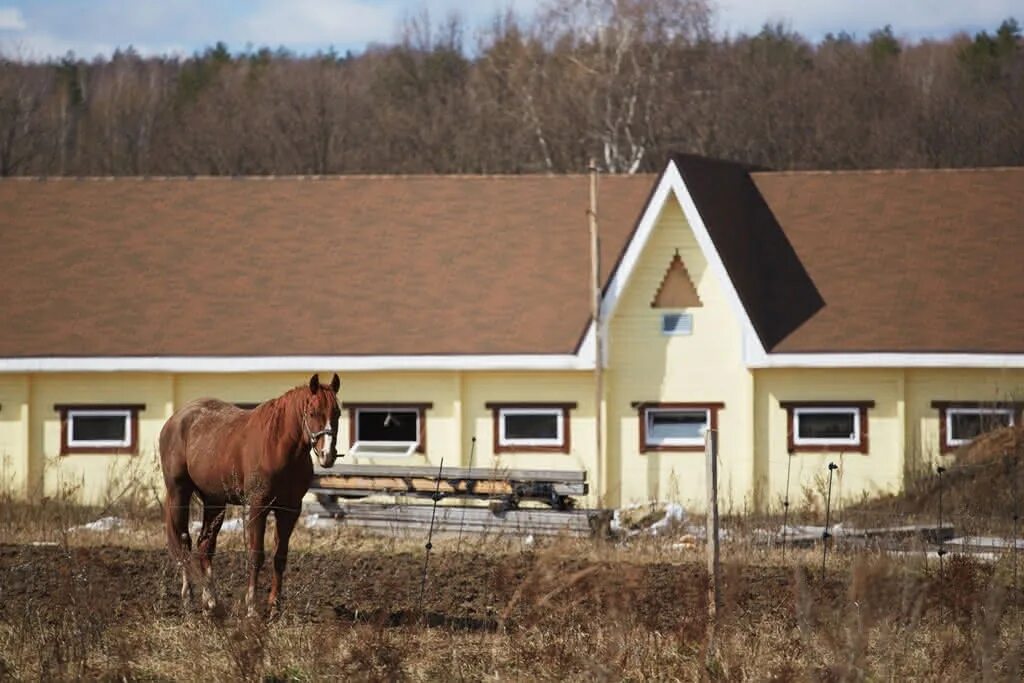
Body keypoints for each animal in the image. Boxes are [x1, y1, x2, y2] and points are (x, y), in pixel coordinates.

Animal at [156, 374, 339, 618]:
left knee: (205, 545)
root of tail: (175, 419)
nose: (328, 455)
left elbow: (280, 557)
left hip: (214, 501)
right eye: (313, 412)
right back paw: (188, 599)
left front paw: (274, 607)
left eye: (337, 413)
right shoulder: (257, 506)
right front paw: (252, 608)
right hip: (179, 493)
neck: (278, 446)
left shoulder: (290, 509)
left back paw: (211, 603)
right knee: (183, 540)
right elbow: (255, 555)